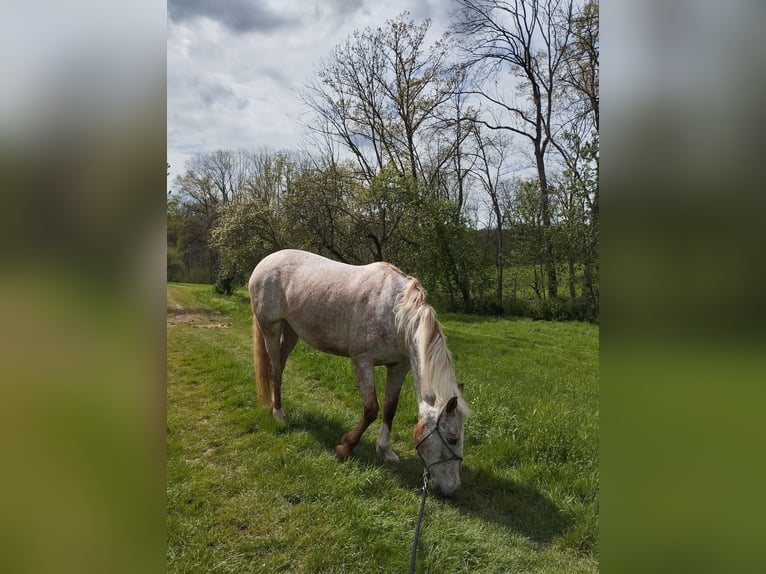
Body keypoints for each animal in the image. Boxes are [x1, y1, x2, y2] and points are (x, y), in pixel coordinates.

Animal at [249, 250, 472, 498]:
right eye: (452, 439)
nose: (452, 488)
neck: (396, 313)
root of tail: (266, 260)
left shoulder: (399, 366)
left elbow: (390, 408)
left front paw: (385, 451)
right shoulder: (362, 361)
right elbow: (371, 409)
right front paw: (345, 447)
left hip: (291, 331)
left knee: (279, 366)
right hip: (271, 328)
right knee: (275, 370)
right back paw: (278, 413)